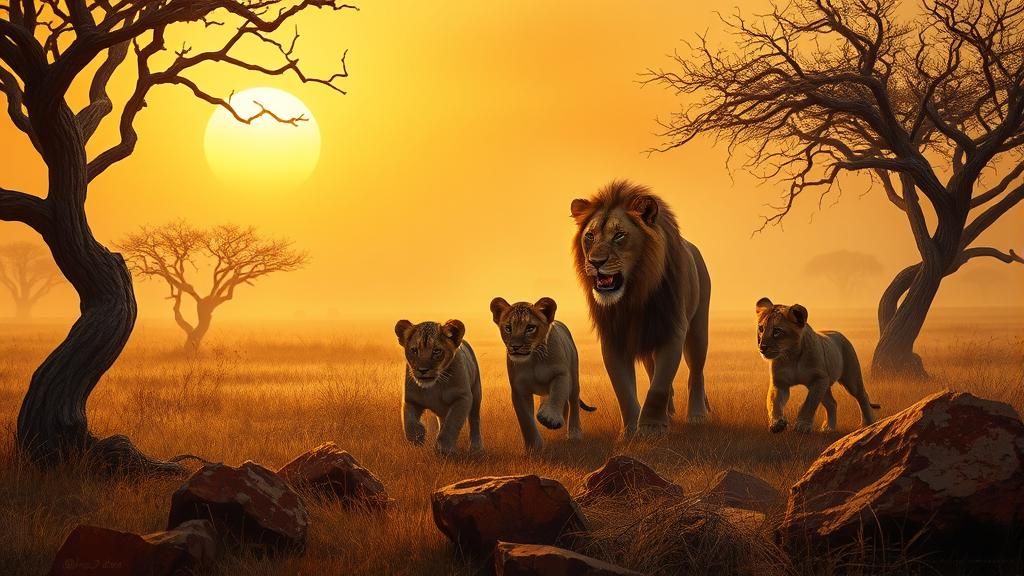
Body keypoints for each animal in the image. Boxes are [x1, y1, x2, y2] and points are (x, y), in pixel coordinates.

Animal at [394, 319, 482, 454]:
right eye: (414, 350)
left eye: (436, 351)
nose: (422, 370)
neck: (434, 387)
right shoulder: (410, 399)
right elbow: (408, 422)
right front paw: (419, 436)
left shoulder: (463, 397)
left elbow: (452, 424)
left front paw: (444, 448)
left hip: (476, 394)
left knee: (474, 419)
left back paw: (476, 447)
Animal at [489, 296, 596, 452]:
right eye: (508, 328)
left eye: (530, 328)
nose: (515, 347)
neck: (533, 358)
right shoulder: (519, 390)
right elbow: (526, 421)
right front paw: (534, 448)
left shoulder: (561, 374)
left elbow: (557, 394)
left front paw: (550, 418)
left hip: (574, 377)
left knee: (573, 402)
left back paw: (574, 433)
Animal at [570, 180, 712, 435]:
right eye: (590, 236)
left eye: (619, 235)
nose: (595, 262)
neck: (633, 297)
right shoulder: (613, 339)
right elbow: (624, 389)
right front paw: (630, 432)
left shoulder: (672, 331)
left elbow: (659, 386)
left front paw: (651, 428)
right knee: (653, 370)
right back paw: (669, 413)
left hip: (697, 329)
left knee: (696, 373)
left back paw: (696, 415)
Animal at [755, 297, 880, 433]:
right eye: (761, 329)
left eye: (777, 331)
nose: (762, 347)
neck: (792, 356)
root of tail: (840, 334)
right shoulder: (779, 383)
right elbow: (774, 403)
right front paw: (777, 424)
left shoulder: (819, 379)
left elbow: (809, 403)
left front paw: (802, 425)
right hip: (826, 386)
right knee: (832, 403)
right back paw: (828, 428)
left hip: (851, 378)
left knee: (862, 396)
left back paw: (868, 423)